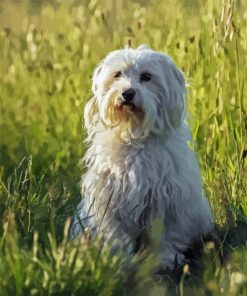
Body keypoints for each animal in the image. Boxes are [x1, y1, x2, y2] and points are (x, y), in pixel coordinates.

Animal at [70, 45, 213, 270]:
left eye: (146, 76)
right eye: (117, 74)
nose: (127, 93)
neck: (135, 135)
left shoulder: (168, 200)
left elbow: (165, 234)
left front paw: (165, 258)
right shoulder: (110, 199)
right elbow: (115, 235)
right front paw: (118, 259)